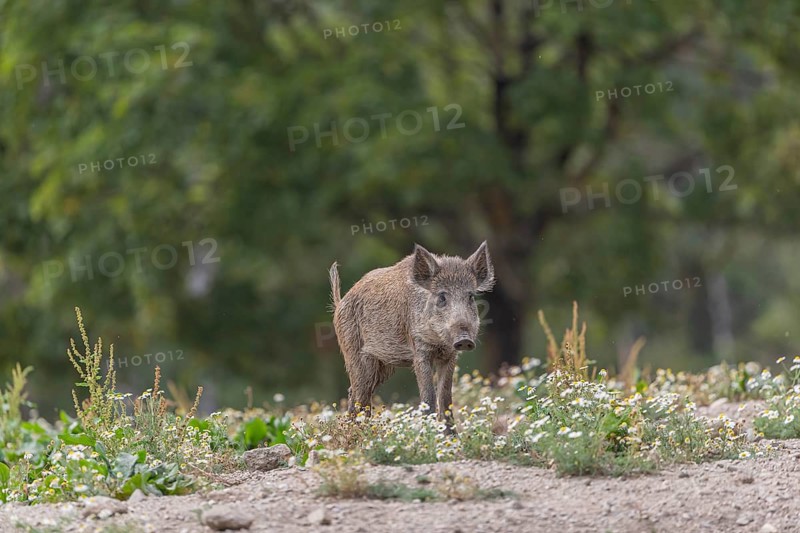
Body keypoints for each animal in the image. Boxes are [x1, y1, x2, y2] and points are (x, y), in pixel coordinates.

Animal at [328, 241, 495, 428]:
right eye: (442, 297)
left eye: (471, 296)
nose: (465, 339)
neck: (438, 342)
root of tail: (339, 303)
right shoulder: (419, 350)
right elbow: (429, 397)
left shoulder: (450, 355)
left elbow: (446, 398)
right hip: (354, 352)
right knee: (360, 394)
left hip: (384, 366)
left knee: (355, 393)